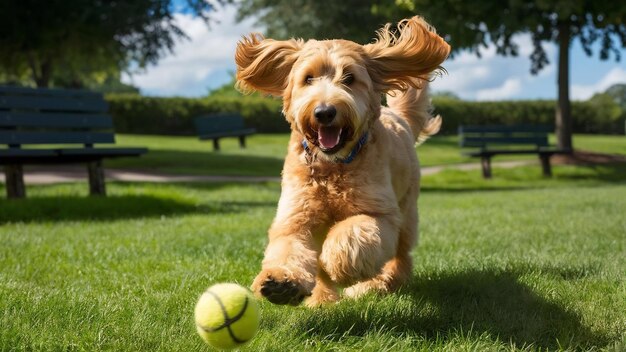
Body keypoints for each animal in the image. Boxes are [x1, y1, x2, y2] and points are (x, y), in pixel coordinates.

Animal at [235, 17, 448, 306]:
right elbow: (288, 246)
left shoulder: (380, 212)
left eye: (349, 78)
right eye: (308, 78)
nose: (324, 112)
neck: (332, 167)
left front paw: (339, 265)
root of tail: (399, 117)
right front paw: (283, 281)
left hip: (406, 211)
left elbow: (353, 233)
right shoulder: (296, 214)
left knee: (400, 255)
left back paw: (376, 284)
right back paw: (322, 298)